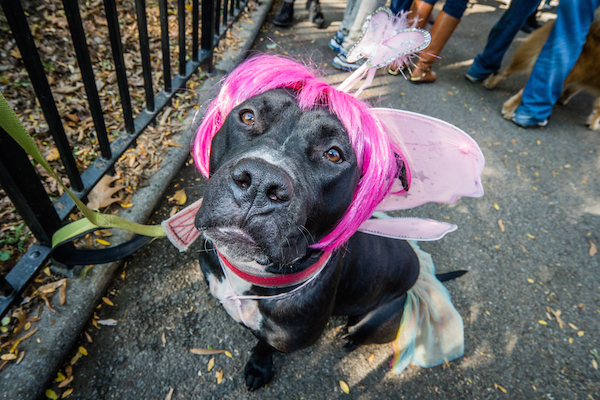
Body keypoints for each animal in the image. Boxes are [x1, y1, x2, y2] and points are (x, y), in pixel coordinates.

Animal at [197, 88, 422, 390]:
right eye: (247, 116)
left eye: (333, 154)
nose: (260, 182)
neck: (250, 274)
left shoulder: (283, 338)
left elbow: (265, 346)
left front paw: (258, 366)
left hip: (381, 317)